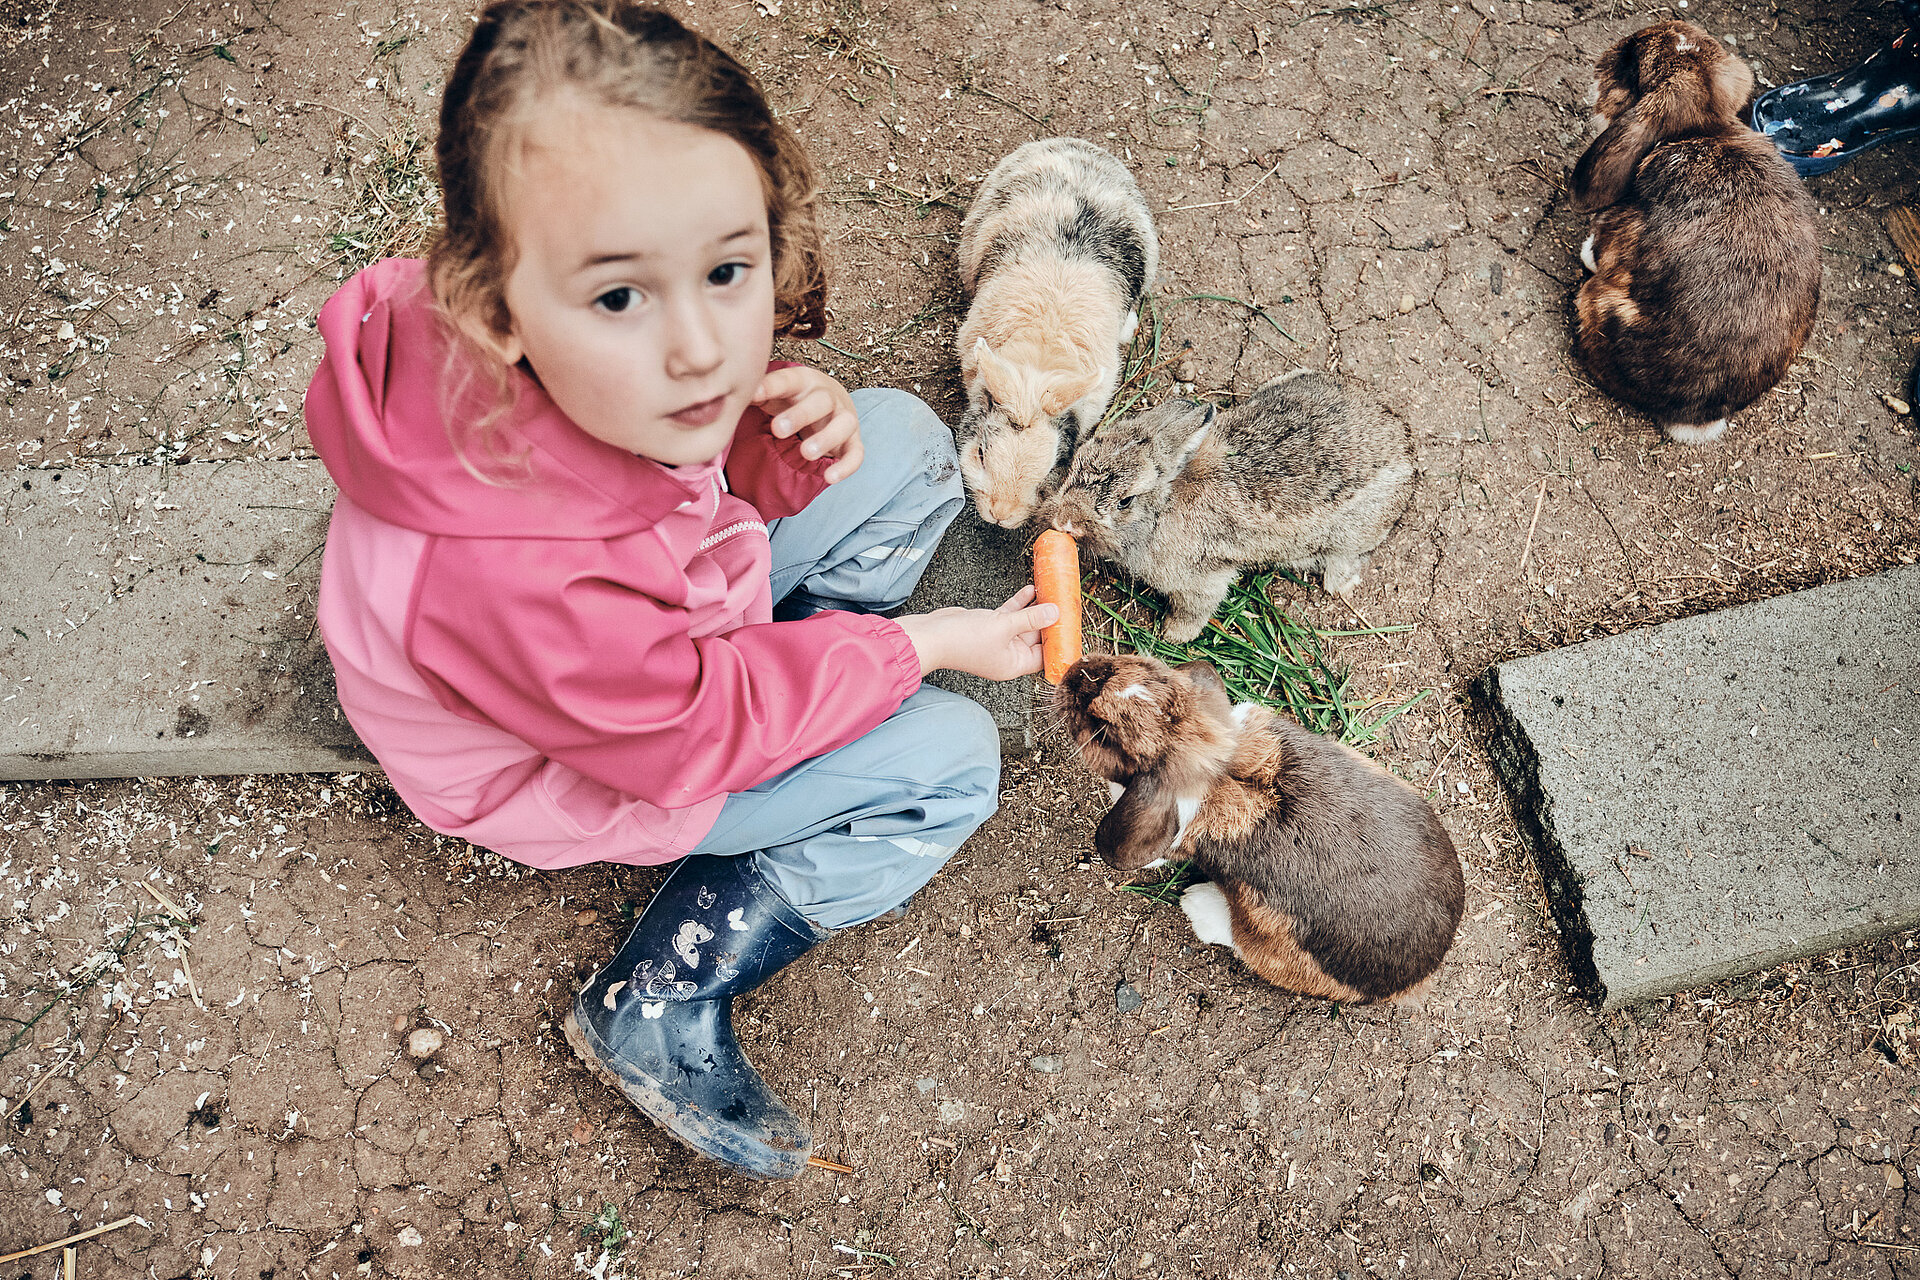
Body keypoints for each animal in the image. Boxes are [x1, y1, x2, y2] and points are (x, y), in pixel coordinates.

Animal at [1045, 369, 1411, 644]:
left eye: (1125, 501)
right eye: (1078, 461)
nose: (1064, 522)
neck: (1161, 510)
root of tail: (1407, 452)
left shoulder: (1201, 581)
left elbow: (1195, 611)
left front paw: (1170, 636)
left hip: (1348, 540)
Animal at [1054, 653, 1464, 1004]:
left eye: (1104, 731)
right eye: (1142, 667)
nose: (1073, 672)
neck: (1218, 769)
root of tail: (1419, 974)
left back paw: (1197, 904)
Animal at [1568, 20, 1821, 444]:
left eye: (1632, 63)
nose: (1602, 61)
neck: (1696, 134)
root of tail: (1694, 417)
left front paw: (1587, 250)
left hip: (1595, 300)